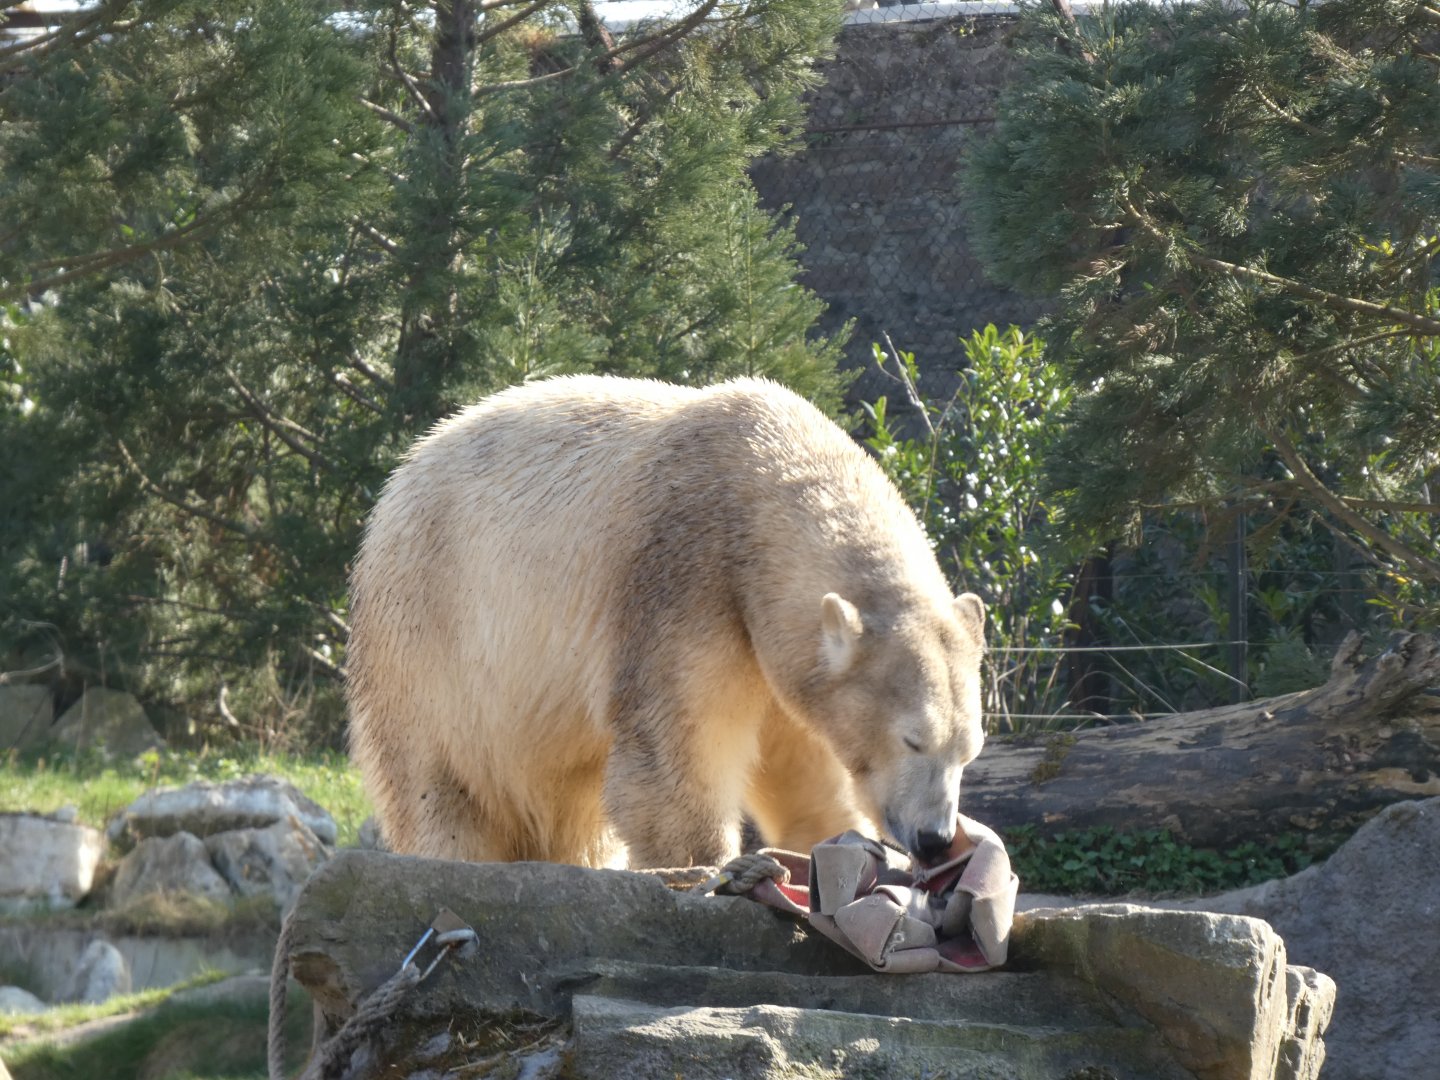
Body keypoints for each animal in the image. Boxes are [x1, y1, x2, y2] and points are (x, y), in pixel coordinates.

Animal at [346, 375, 987, 870]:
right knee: (440, 784)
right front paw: (706, 863)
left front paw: (830, 845)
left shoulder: (773, 642)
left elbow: (800, 763)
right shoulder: (686, 577)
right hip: (429, 640)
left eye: (969, 748)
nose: (934, 839)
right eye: (913, 737)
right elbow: (679, 743)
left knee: (571, 806)